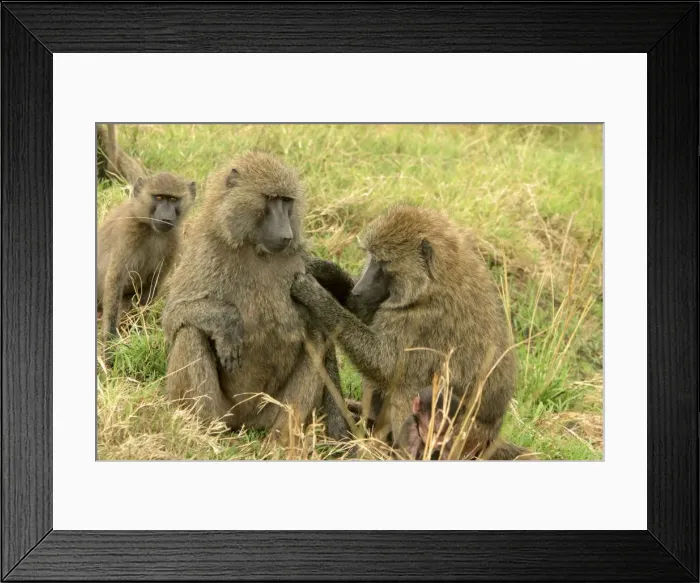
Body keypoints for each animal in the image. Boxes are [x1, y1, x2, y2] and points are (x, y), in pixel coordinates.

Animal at [97, 172, 196, 360]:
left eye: (173, 199)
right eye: (159, 197)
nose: (166, 216)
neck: (150, 228)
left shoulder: (172, 241)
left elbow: (153, 284)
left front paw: (140, 330)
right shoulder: (127, 234)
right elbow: (114, 279)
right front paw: (111, 344)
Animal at [161, 152, 351, 443]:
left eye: (287, 201)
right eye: (271, 199)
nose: (286, 234)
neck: (255, 249)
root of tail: (244, 423)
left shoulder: (303, 267)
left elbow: (322, 336)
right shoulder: (206, 251)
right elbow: (173, 316)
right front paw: (227, 324)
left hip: (269, 410)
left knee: (315, 340)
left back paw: (282, 442)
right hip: (222, 410)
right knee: (190, 332)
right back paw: (205, 433)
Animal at [290, 204, 518, 458]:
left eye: (382, 263)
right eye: (371, 258)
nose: (359, 289)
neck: (435, 281)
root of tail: (490, 438)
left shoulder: (420, 322)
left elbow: (384, 365)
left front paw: (316, 296)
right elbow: (366, 314)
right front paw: (326, 271)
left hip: (459, 437)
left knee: (408, 388)